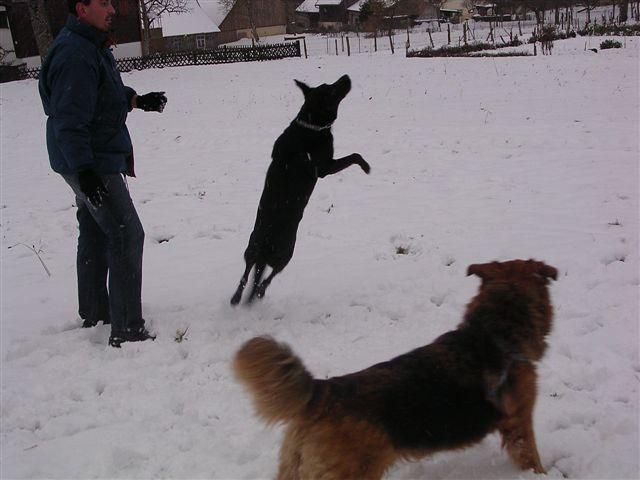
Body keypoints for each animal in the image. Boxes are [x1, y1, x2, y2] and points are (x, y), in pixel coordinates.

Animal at [230, 77, 370, 306]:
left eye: (329, 85)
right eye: (331, 90)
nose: (346, 77)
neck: (310, 126)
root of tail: (264, 251)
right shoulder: (325, 167)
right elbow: (354, 156)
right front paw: (366, 167)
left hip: (251, 250)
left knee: (246, 276)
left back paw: (237, 297)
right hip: (287, 255)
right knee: (266, 278)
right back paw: (259, 292)